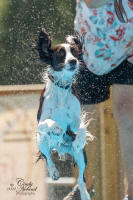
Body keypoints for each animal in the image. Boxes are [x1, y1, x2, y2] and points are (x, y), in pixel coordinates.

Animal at [36, 28, 92, 200]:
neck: (62, 88)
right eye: (61, 53)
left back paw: (85, 194)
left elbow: (79, 127)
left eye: (74, 52)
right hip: (41, 141)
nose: (73, 61)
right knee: (48, 158)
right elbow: (49, 122)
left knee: (81, 179)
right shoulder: (41, 122)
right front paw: (57, 128)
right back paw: (54, 172)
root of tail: (61, 147)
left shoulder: (75, 119)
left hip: (81, 156)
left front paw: (78, 138)